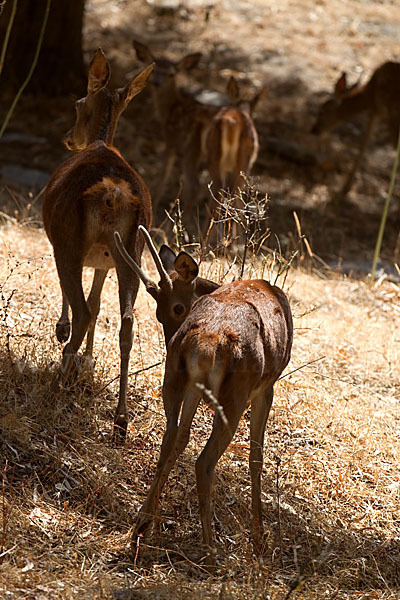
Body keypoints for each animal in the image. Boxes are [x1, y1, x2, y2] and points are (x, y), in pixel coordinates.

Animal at [42, 48, 154, 440]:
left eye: (77, 103)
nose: (67, 137)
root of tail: (112, 193)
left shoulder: (63, 245)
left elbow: (80, 301)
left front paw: (62, 337)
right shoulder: (102, 261)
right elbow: (97, 301)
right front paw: (88, 362)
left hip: (69, 240)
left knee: (82, 310)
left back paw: (57, 382)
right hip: (131, 250)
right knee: (127, 321)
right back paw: (120, 419)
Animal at [114, 226, 292, 568]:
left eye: (171, 309)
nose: (169, 336)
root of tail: (207, 342)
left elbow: (179, 440)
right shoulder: (267, 387)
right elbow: (256, 456)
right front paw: (259, 538)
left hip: (175, 378)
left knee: (170, 439)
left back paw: (142, 526)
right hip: (235, 395)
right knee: (204, 461)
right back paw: (212, 551)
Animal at [134, 39, 219, 227]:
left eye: (172, 74)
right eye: (154, 69)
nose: (157, 83)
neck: (169, 111)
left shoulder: (171, 141)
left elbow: (161, 180)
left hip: (192, 148)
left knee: (195, 186)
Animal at [310, 61, 400, 198]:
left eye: (322, 111)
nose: (314, 129)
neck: (366, 95)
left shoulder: (376, 110)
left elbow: (363, 146)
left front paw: (345, 188)